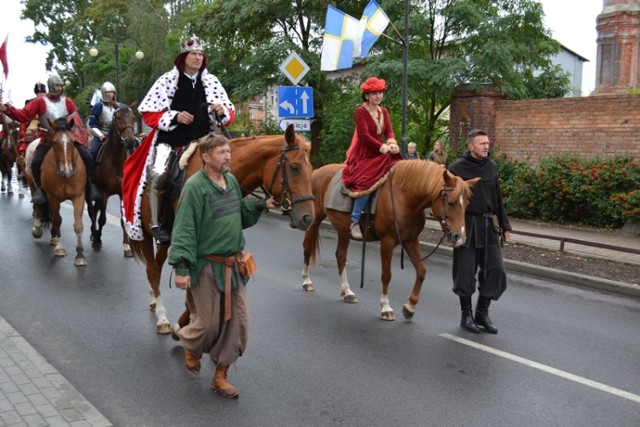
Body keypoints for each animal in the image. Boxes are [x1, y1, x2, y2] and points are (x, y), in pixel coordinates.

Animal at [87, 103, 138, 258]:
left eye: (133, 117)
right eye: (118, 117)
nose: (130, 141)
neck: (116, 162)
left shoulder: (122, 193)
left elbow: (123, 220)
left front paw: (127, 246)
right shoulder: (103, 192)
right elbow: (102, 219)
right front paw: (97, 239)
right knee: (92, 212)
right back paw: (93, 233)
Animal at [131, 124, 318, 334]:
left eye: (311, 168)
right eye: (294, 167)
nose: (308, 218)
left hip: (167, 239)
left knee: (157, 265)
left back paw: (154, 300)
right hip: (145, 234)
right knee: (152, 270)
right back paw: (162, 317)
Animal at [302, 160, 478, 320]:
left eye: (467, 204)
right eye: (451, 203)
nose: (460, 237)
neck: (404, 198)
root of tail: (317, 171)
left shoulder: (411, 241)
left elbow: (421, 271)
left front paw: (410, 306)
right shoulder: (387, 241)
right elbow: (386, 274)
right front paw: (386, 307)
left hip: (343, 230)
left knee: (340, 256)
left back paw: (347, 292)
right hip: (314, 221)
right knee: (308, 248)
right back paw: (307, 282)